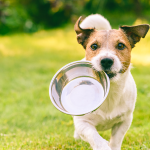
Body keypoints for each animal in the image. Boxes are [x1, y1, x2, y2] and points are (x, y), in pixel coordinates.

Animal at [73, 13, 149, 149]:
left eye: (120, 46)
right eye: (94, 46)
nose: (106, 61)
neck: (109, 91)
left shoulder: (124, 121)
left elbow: (115, 141)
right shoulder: (83, 123)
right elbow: (94, 137)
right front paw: (103, 145)